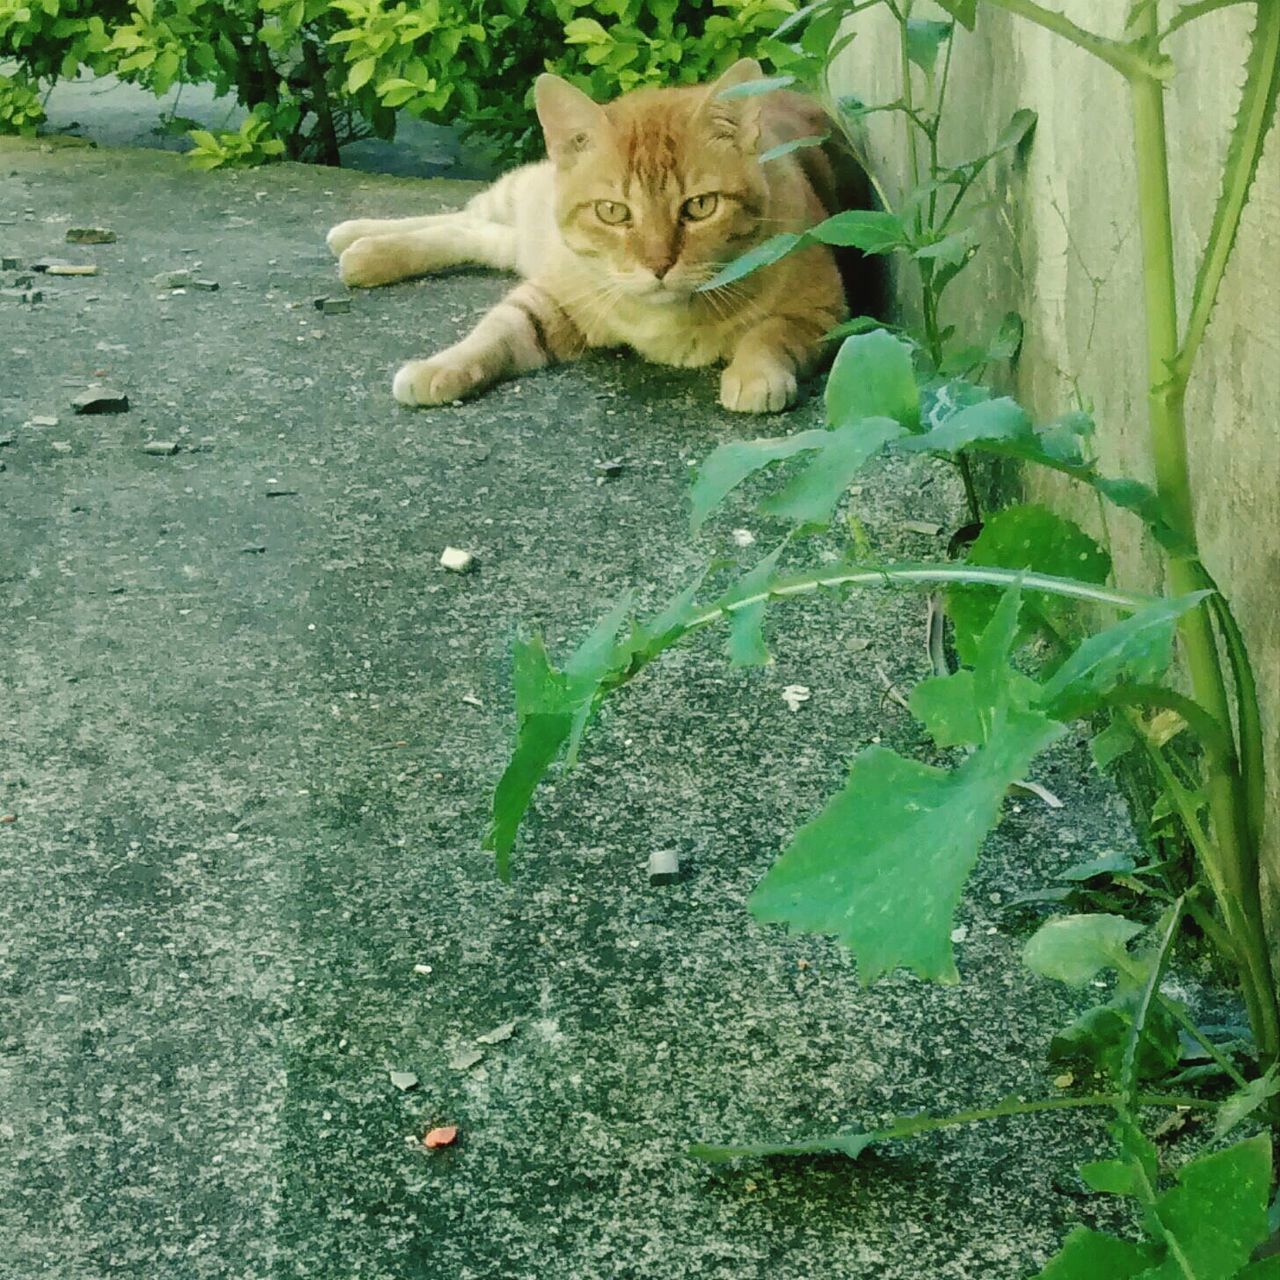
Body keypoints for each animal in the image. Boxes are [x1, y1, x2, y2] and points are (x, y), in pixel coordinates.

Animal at [327, 60, 849, 412]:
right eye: (612, 212)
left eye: (700, 206)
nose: (658, 265)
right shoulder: (550, 299)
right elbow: (490, 334)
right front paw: (440, 366)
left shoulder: (826, 312)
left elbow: (771, 332)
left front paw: (755, 374)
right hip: (523, 202)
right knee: (466, 214)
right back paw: (357, 237)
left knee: (472, 232)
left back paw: (361, 252)